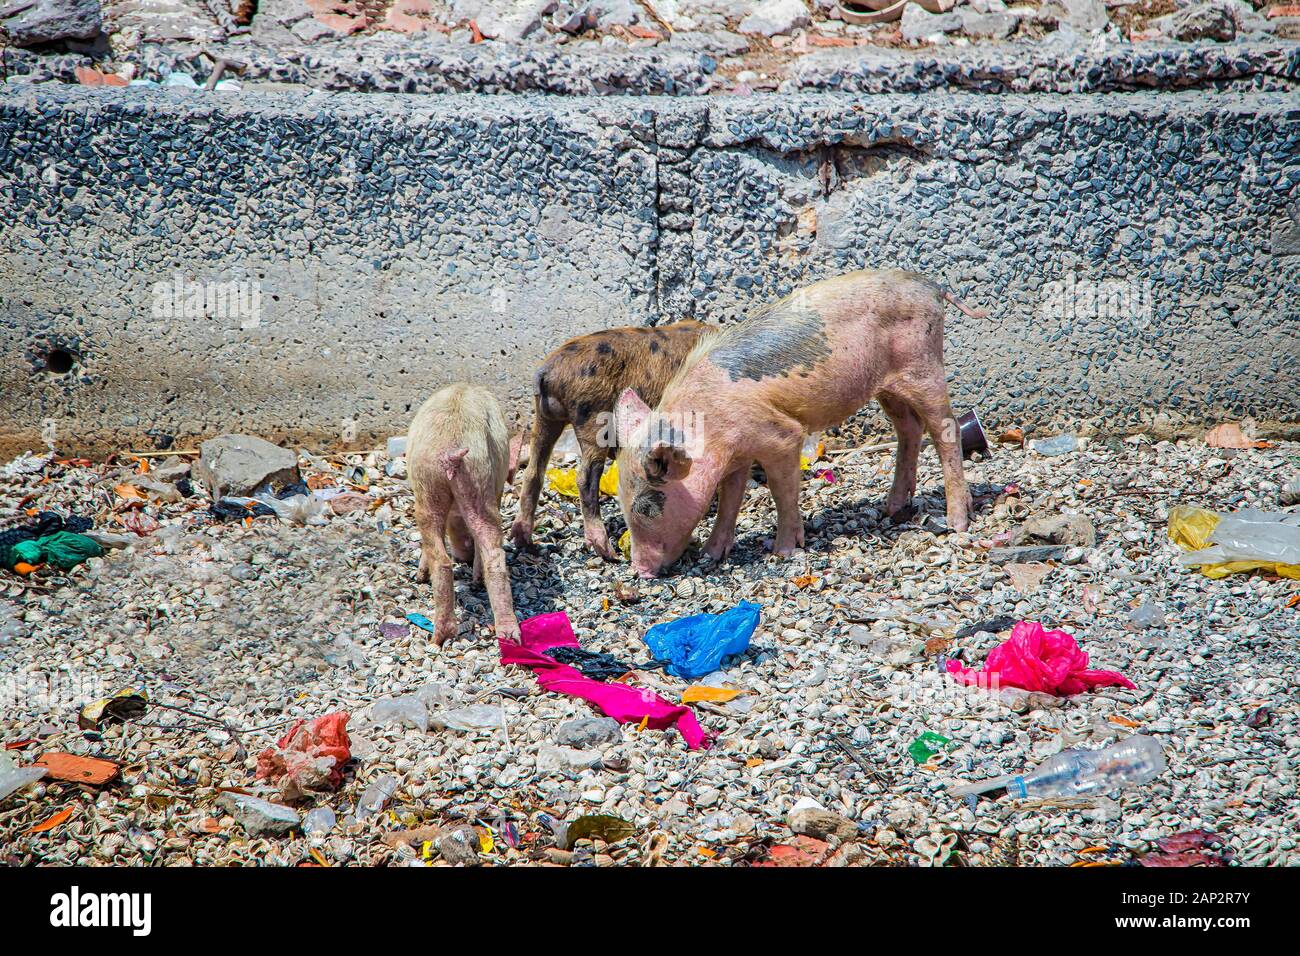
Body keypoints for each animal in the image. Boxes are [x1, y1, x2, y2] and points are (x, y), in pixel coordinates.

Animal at [410, 382, 522, 642]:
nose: (464, 555)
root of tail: (451, 452)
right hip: (468, 481)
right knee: (491, 553)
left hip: (435, 486)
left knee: (444, 556)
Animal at [509, 321, 712, 561]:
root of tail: (547, 371)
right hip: (593, 418)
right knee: (585, 477)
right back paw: (608, 552)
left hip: (545, 418)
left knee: (533, 471)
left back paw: (523, 540)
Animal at [613, 270, 977, 582]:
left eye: (646, 507)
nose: (639, 571)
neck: (707, 429)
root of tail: (931, 285)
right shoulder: (737, 455)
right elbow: (729, 500)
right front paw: (710, 554)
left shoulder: (781, 436)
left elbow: (780, 491)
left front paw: (784, 550)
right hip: (886, 385)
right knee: (909, 429)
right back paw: (893, 507)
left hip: (923, 364)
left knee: (946, 429)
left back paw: (956, 524)